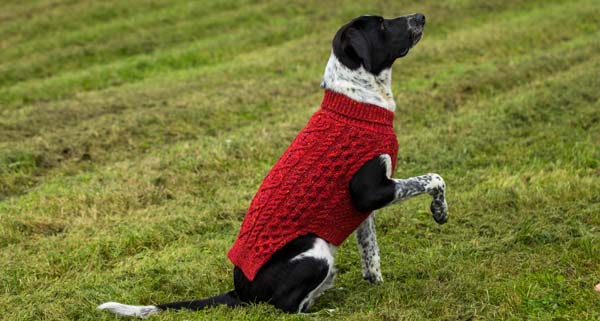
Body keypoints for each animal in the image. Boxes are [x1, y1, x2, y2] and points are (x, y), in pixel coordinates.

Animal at [98, 13, 446, 318]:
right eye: (383, 24)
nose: (421, 16)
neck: (357, 103)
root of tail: (240, 293)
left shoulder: (360, 209)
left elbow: (370, 252)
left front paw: (376, 285)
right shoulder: (371, 190)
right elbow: (434, 177)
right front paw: (440, 210)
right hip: (316, 249)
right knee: (286, 307)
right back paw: (324, 312)